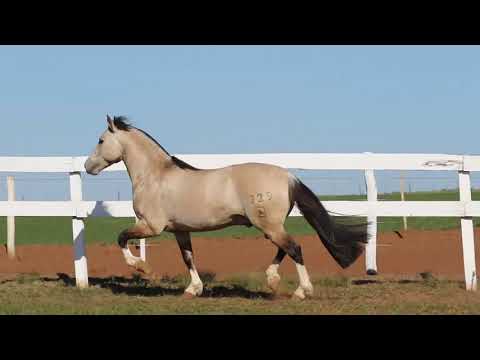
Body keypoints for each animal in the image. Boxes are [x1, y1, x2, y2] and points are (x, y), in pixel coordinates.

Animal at [84, 115, 370, 298]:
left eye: (100, 140)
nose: (88, 166)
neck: (156, 176)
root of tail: (289, 176)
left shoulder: (151, 227)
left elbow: (121, 238)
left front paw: (142, 268)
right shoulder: (180, 230)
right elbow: (188, 257)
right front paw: (193, 290)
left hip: (268, 224)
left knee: (294, 248)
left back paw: (301, 291)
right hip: (271, 225)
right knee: (284, 248)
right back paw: (272, 280)